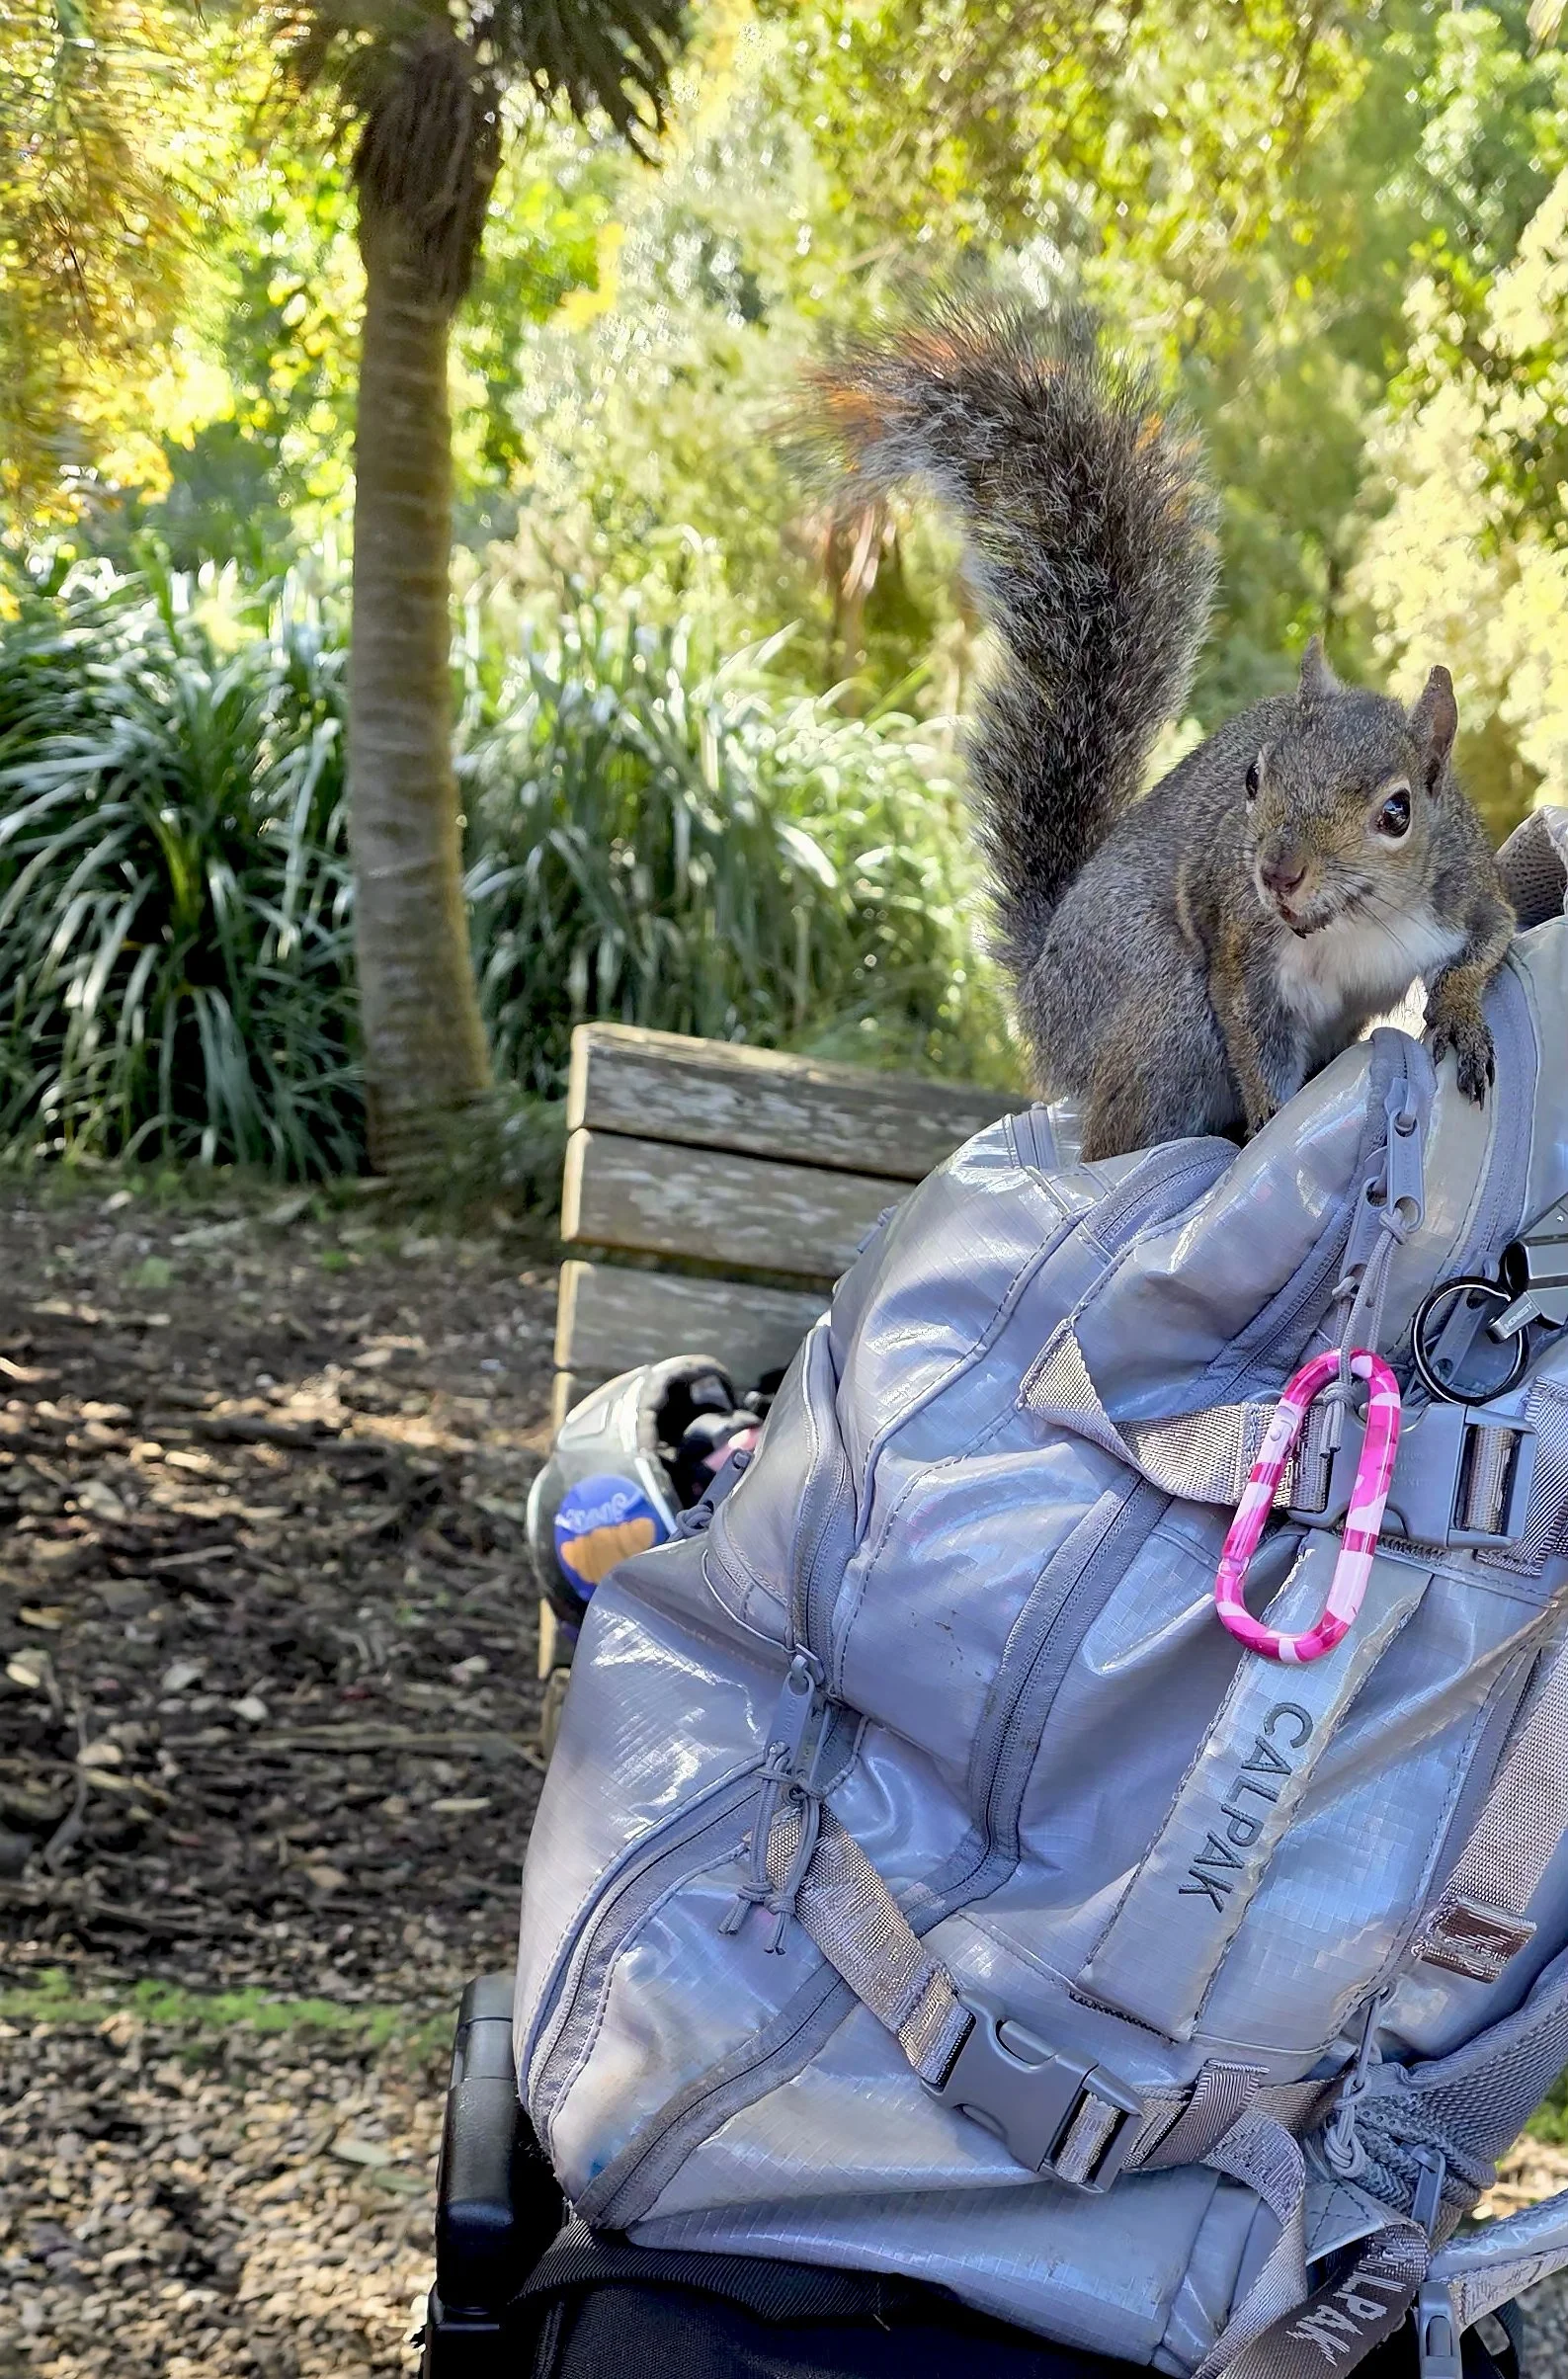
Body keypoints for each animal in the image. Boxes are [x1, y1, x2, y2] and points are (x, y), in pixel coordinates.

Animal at [804, 301, 1516, 1161]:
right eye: (1253, 779)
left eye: (1397, 811)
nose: (1276, 874)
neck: (1355, 924)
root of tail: (1041, 989)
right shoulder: (1239, 948)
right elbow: (1250, 1039)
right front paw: (1273, 1129)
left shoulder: (1466, 889)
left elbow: (1488, 944)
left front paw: (1460, 1012)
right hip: (1162, 1011)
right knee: (1117, 1129)